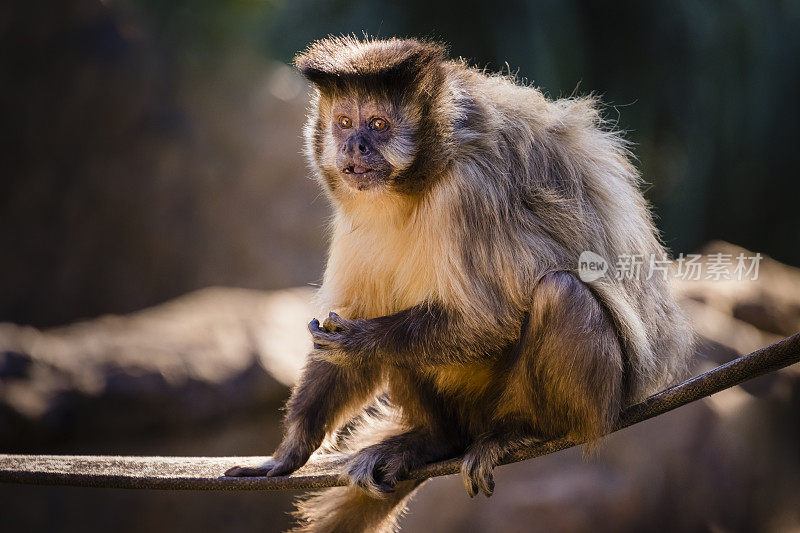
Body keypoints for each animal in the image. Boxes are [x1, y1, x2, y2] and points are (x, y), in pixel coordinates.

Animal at [225, 35, 692, 528]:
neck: (420, 179)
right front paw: (291, 452)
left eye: (378, 125)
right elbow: (352, 321)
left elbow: (489, 320)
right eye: (346, 123)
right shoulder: (356, 205)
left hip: (578, 401)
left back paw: (524, 432)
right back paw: (435, 440)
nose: (354, 146)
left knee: (560, 293)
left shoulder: (472, 189)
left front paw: (359, 340)